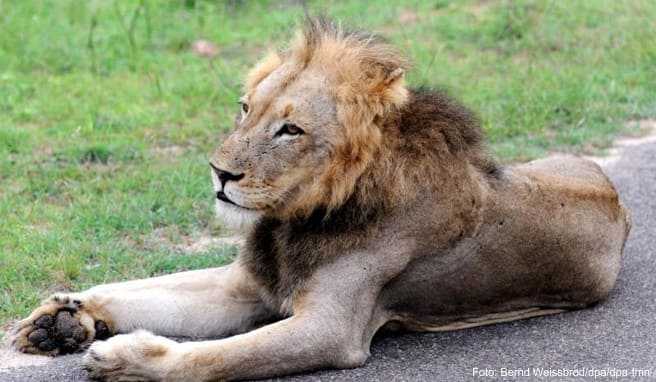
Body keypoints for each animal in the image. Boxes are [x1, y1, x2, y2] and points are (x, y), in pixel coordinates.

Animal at [10, 17, 632, 380]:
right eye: (245, 108)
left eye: (291, 130)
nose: (219, 173)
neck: (293, 221)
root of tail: (616, 196)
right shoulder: (244, 287)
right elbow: (148, 288)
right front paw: (62, 319)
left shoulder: (331, 330)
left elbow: (215, 358)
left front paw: (128, 358)